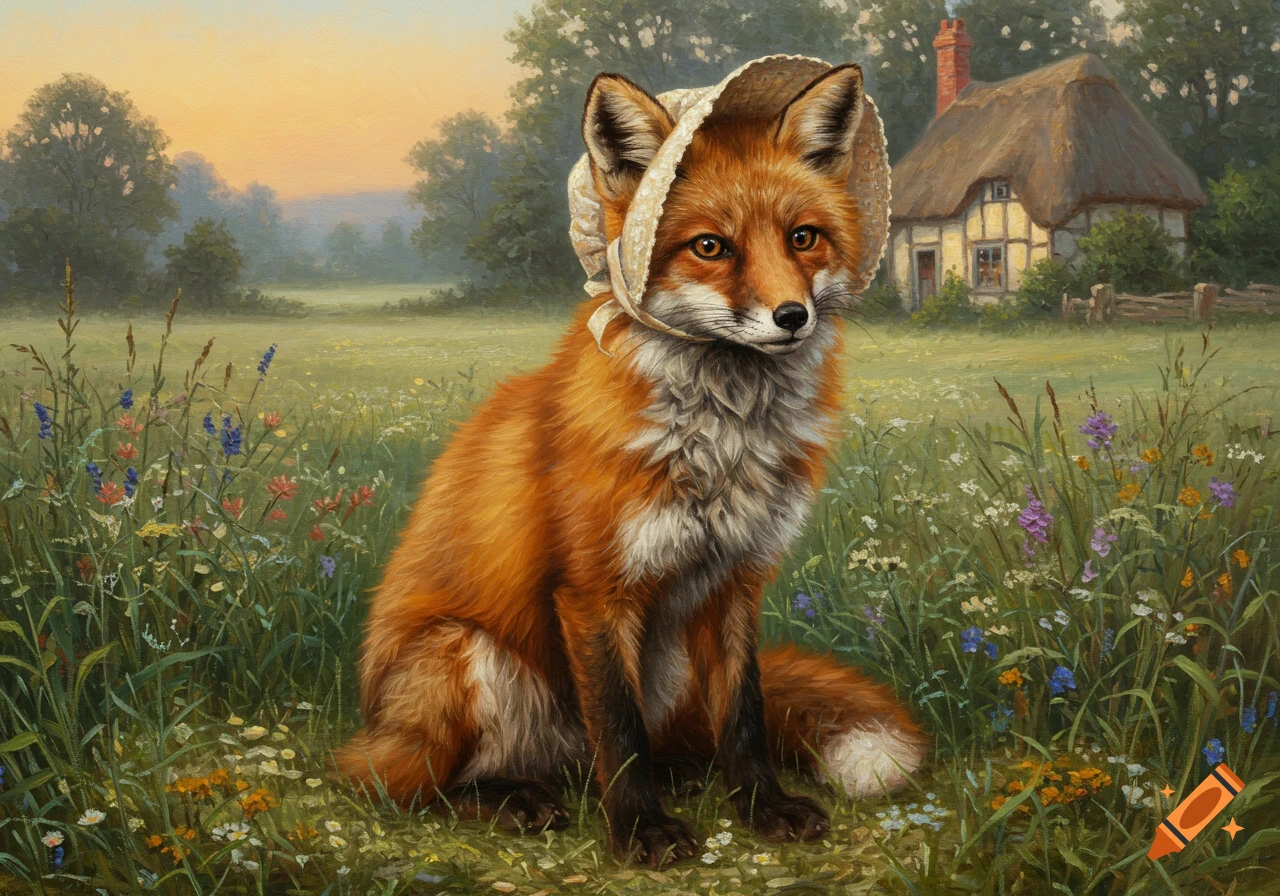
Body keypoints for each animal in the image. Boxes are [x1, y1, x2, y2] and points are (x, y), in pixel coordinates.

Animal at [335, 60, 926, 868]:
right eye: (711, 247)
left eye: (803, 238)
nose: (791, 317)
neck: (719, 444)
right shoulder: (593, 591)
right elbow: (619, 732)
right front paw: (641, 832)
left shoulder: (736, 580)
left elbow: (744, 718)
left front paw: (761, 808)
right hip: (462, 657)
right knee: (410, 786)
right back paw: (514, 800)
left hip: (666, 665)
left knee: (664, 745)